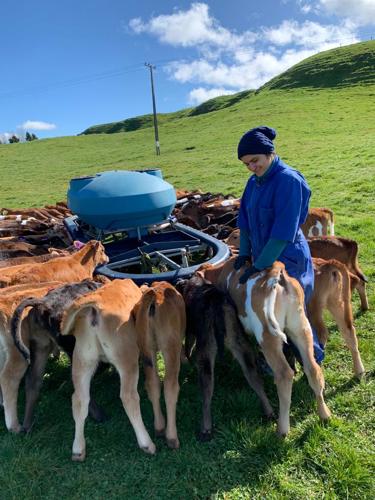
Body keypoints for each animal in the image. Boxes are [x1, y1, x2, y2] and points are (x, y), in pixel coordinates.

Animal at [59, 280, 156, 458]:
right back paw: (147, 444)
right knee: (128, 397)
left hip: (83, 360)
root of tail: (95, 304)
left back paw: (78, 450)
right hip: (126, 360)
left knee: (79, 400)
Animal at [178, 274, 274, 442]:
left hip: (206, 353)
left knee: (206, 395)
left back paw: (206, 429)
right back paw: (268, 411)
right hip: (242, 346)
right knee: (255, 380)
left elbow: (188, 347)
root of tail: (218, 306)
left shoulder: (190, 331)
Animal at [203, 260, 332, 436]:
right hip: (301, 328)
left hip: (268, 335)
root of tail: (276, 273)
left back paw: (282, 429)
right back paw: (325, 414)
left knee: (284, 374)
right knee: (313, 369)